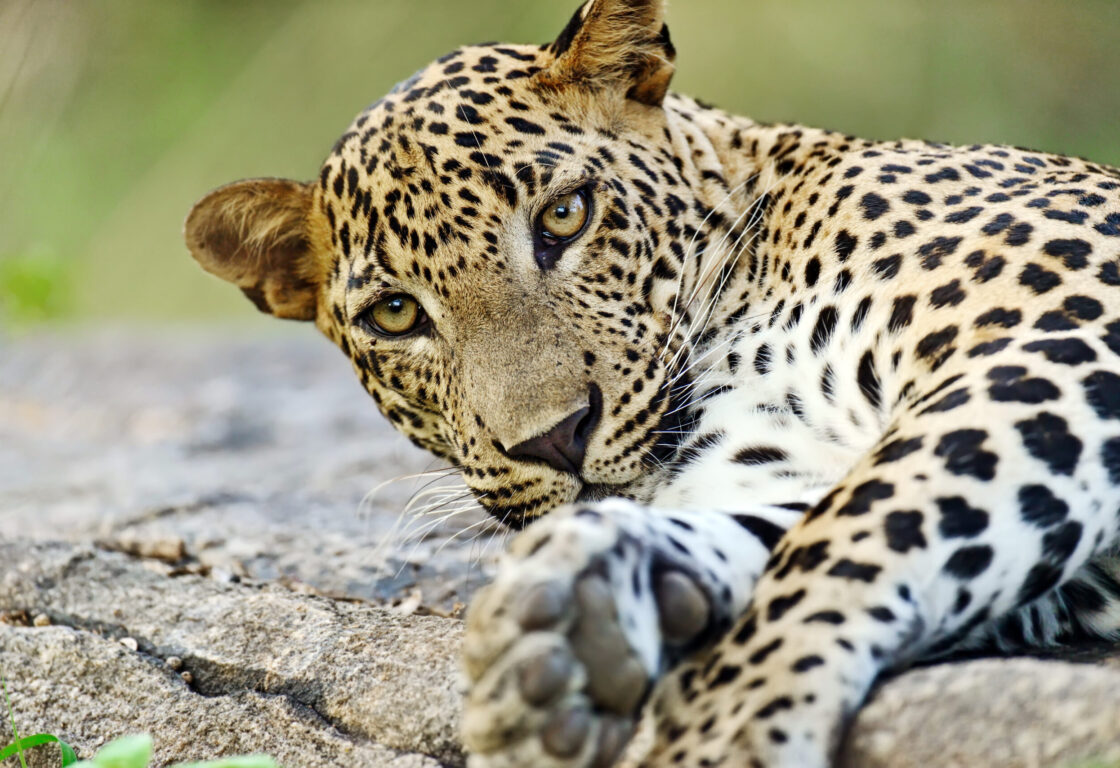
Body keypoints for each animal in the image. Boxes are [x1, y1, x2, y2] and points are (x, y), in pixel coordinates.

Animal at [183, 1, 1120, 765]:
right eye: (394, 314)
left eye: (565, 216)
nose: (556, 438)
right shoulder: (778, 467)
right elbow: (794, 524)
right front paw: (576, 620)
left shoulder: (1058, 330)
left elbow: (857, 527)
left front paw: (721, 731)